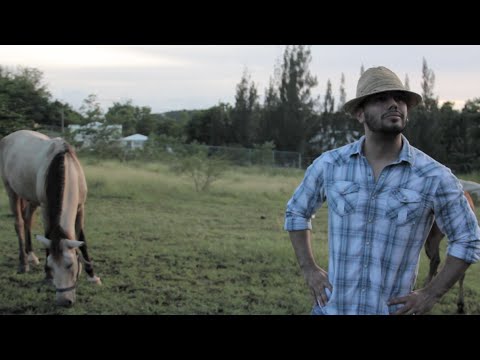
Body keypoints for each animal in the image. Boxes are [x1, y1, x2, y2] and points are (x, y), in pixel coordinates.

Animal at [0, 129, 101, 306]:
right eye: (51, 266)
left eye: (70, 265)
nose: (64, 301)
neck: (65, 165)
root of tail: (9, 137)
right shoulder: (46, 208)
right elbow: (48, 236)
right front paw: (47, 277)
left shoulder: (81, 207)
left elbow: (82, 238)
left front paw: (92, 276)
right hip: (11, 191)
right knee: (19, 223)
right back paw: (23, 263)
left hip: (32, 198)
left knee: (27, 220)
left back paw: (31, 256)